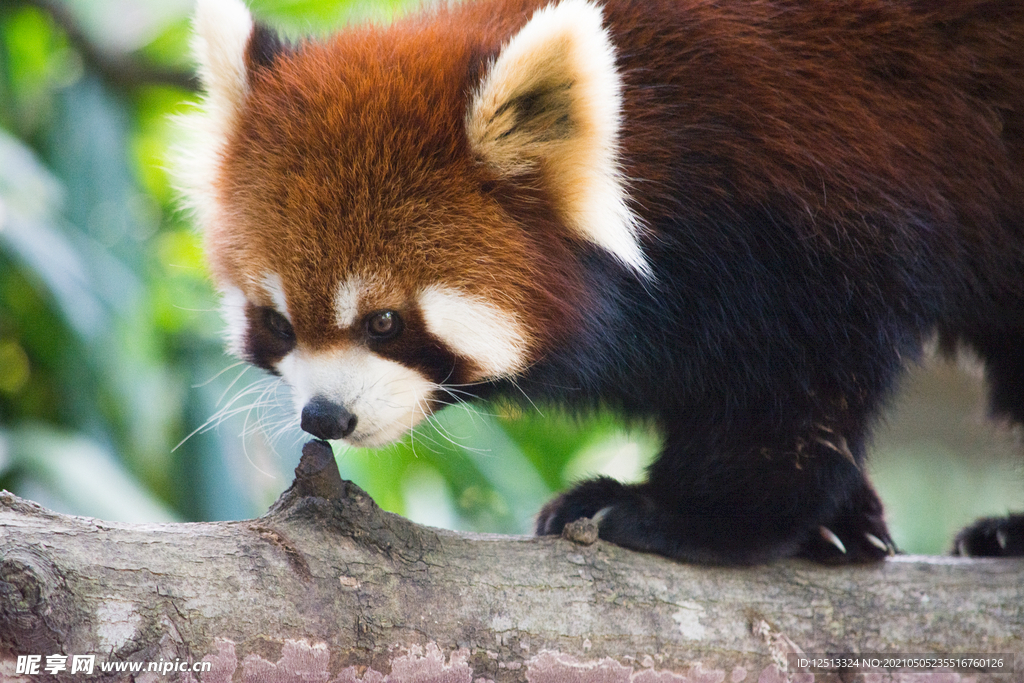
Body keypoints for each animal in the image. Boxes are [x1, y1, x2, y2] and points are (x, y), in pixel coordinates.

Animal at [180, 0, 1024, 565]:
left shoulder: (817, 202)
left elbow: (795, 395)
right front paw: (841, 521)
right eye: (278, 323)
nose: (326, 416)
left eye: (384, 321)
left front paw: (688, 515)